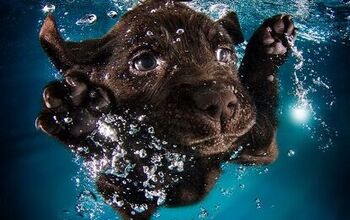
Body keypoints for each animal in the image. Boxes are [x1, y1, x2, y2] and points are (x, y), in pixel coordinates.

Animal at [36, 0, 296, 218]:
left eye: (224, 54)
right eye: (145, 62)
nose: (221, 101)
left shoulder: (260, 147)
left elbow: (260, 96)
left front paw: (270, 44)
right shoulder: (131, 198)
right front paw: (83, 120)